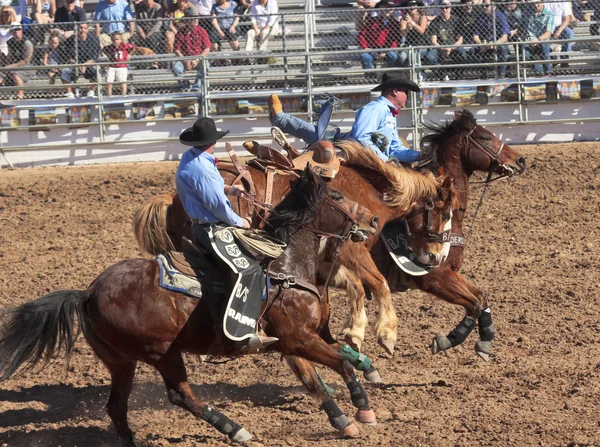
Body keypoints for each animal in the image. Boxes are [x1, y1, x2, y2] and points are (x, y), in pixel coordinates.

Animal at [1, 170, 384, 446]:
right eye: (337, 196)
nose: (374, 220)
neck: (282, 267)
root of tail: (88, 292)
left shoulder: (292, 342)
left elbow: (323, 372)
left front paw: (342, 418)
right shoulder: (299, 339)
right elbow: (339, 365)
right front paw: (363, 409)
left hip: (121, 361)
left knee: (117, 406)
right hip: (162, 353)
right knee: (179, 394)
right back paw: (235, 429)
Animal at [134, 144, 458, 356]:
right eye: (445, 212)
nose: (438, 257)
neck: (370, 191)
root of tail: (172, 198)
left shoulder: (328, 258)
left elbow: (354, 286)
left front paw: (354, 332)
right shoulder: (352, 250)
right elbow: (377, 283)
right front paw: (387, 333)